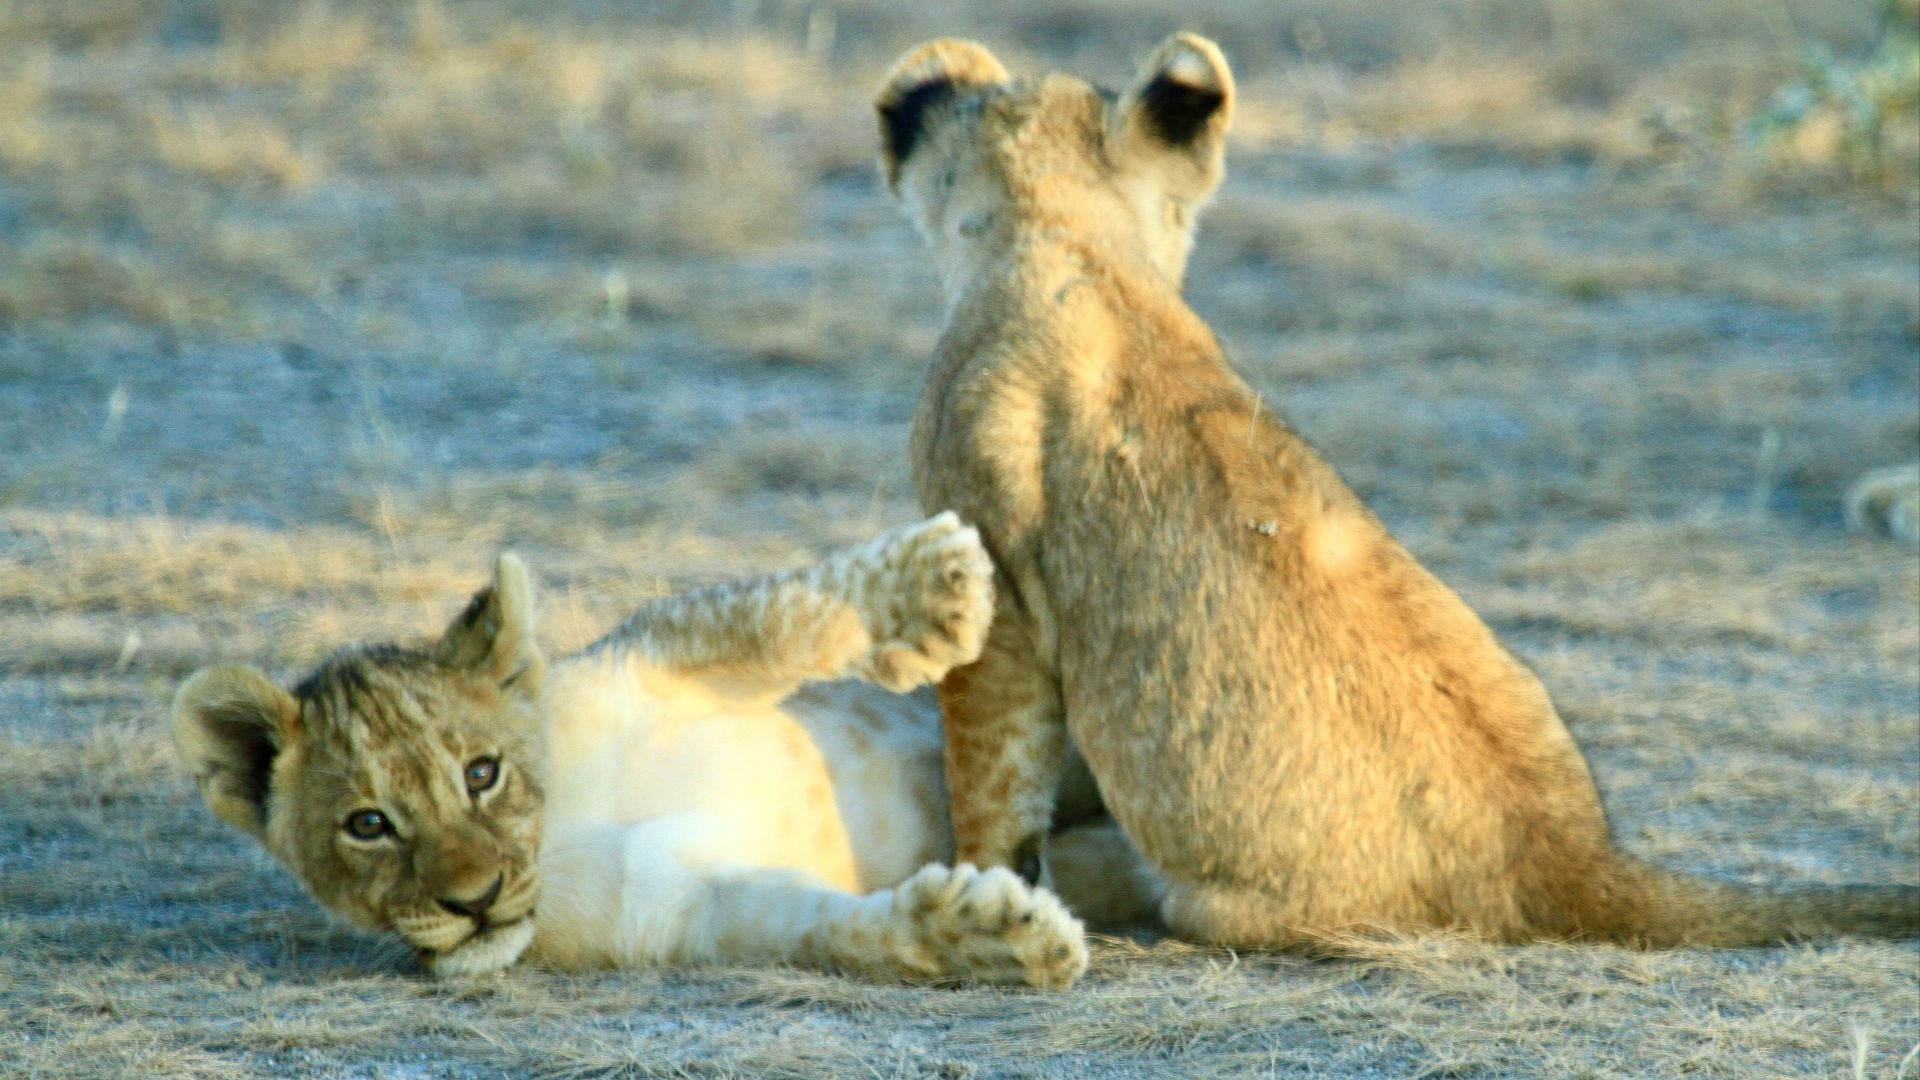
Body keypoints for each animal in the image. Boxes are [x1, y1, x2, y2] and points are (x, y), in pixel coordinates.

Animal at [172, 513, 1104, 986]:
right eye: (368, 824)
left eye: (481, 773)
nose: (475, 902)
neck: (560, 826)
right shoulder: (698, 907)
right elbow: (845, 932)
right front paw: (1002, 934)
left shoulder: (656, 653)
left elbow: (774, 614)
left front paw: (938, 582)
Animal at [875, 35, 1920, 948]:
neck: (1074, 240)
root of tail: (1575, 857)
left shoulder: (986, 557)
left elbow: (992, 775)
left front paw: (977, 893)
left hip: (1218, 900)